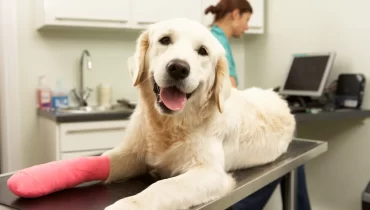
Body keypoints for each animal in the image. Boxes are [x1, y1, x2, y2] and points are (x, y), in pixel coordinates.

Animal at [102, 18, 296, 210]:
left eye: (203, 51)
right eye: (165, 40)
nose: (178, 68)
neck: (169, 124)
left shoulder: (211, 173)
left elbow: (162, 186)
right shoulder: (131, 153)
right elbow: (106, 159)